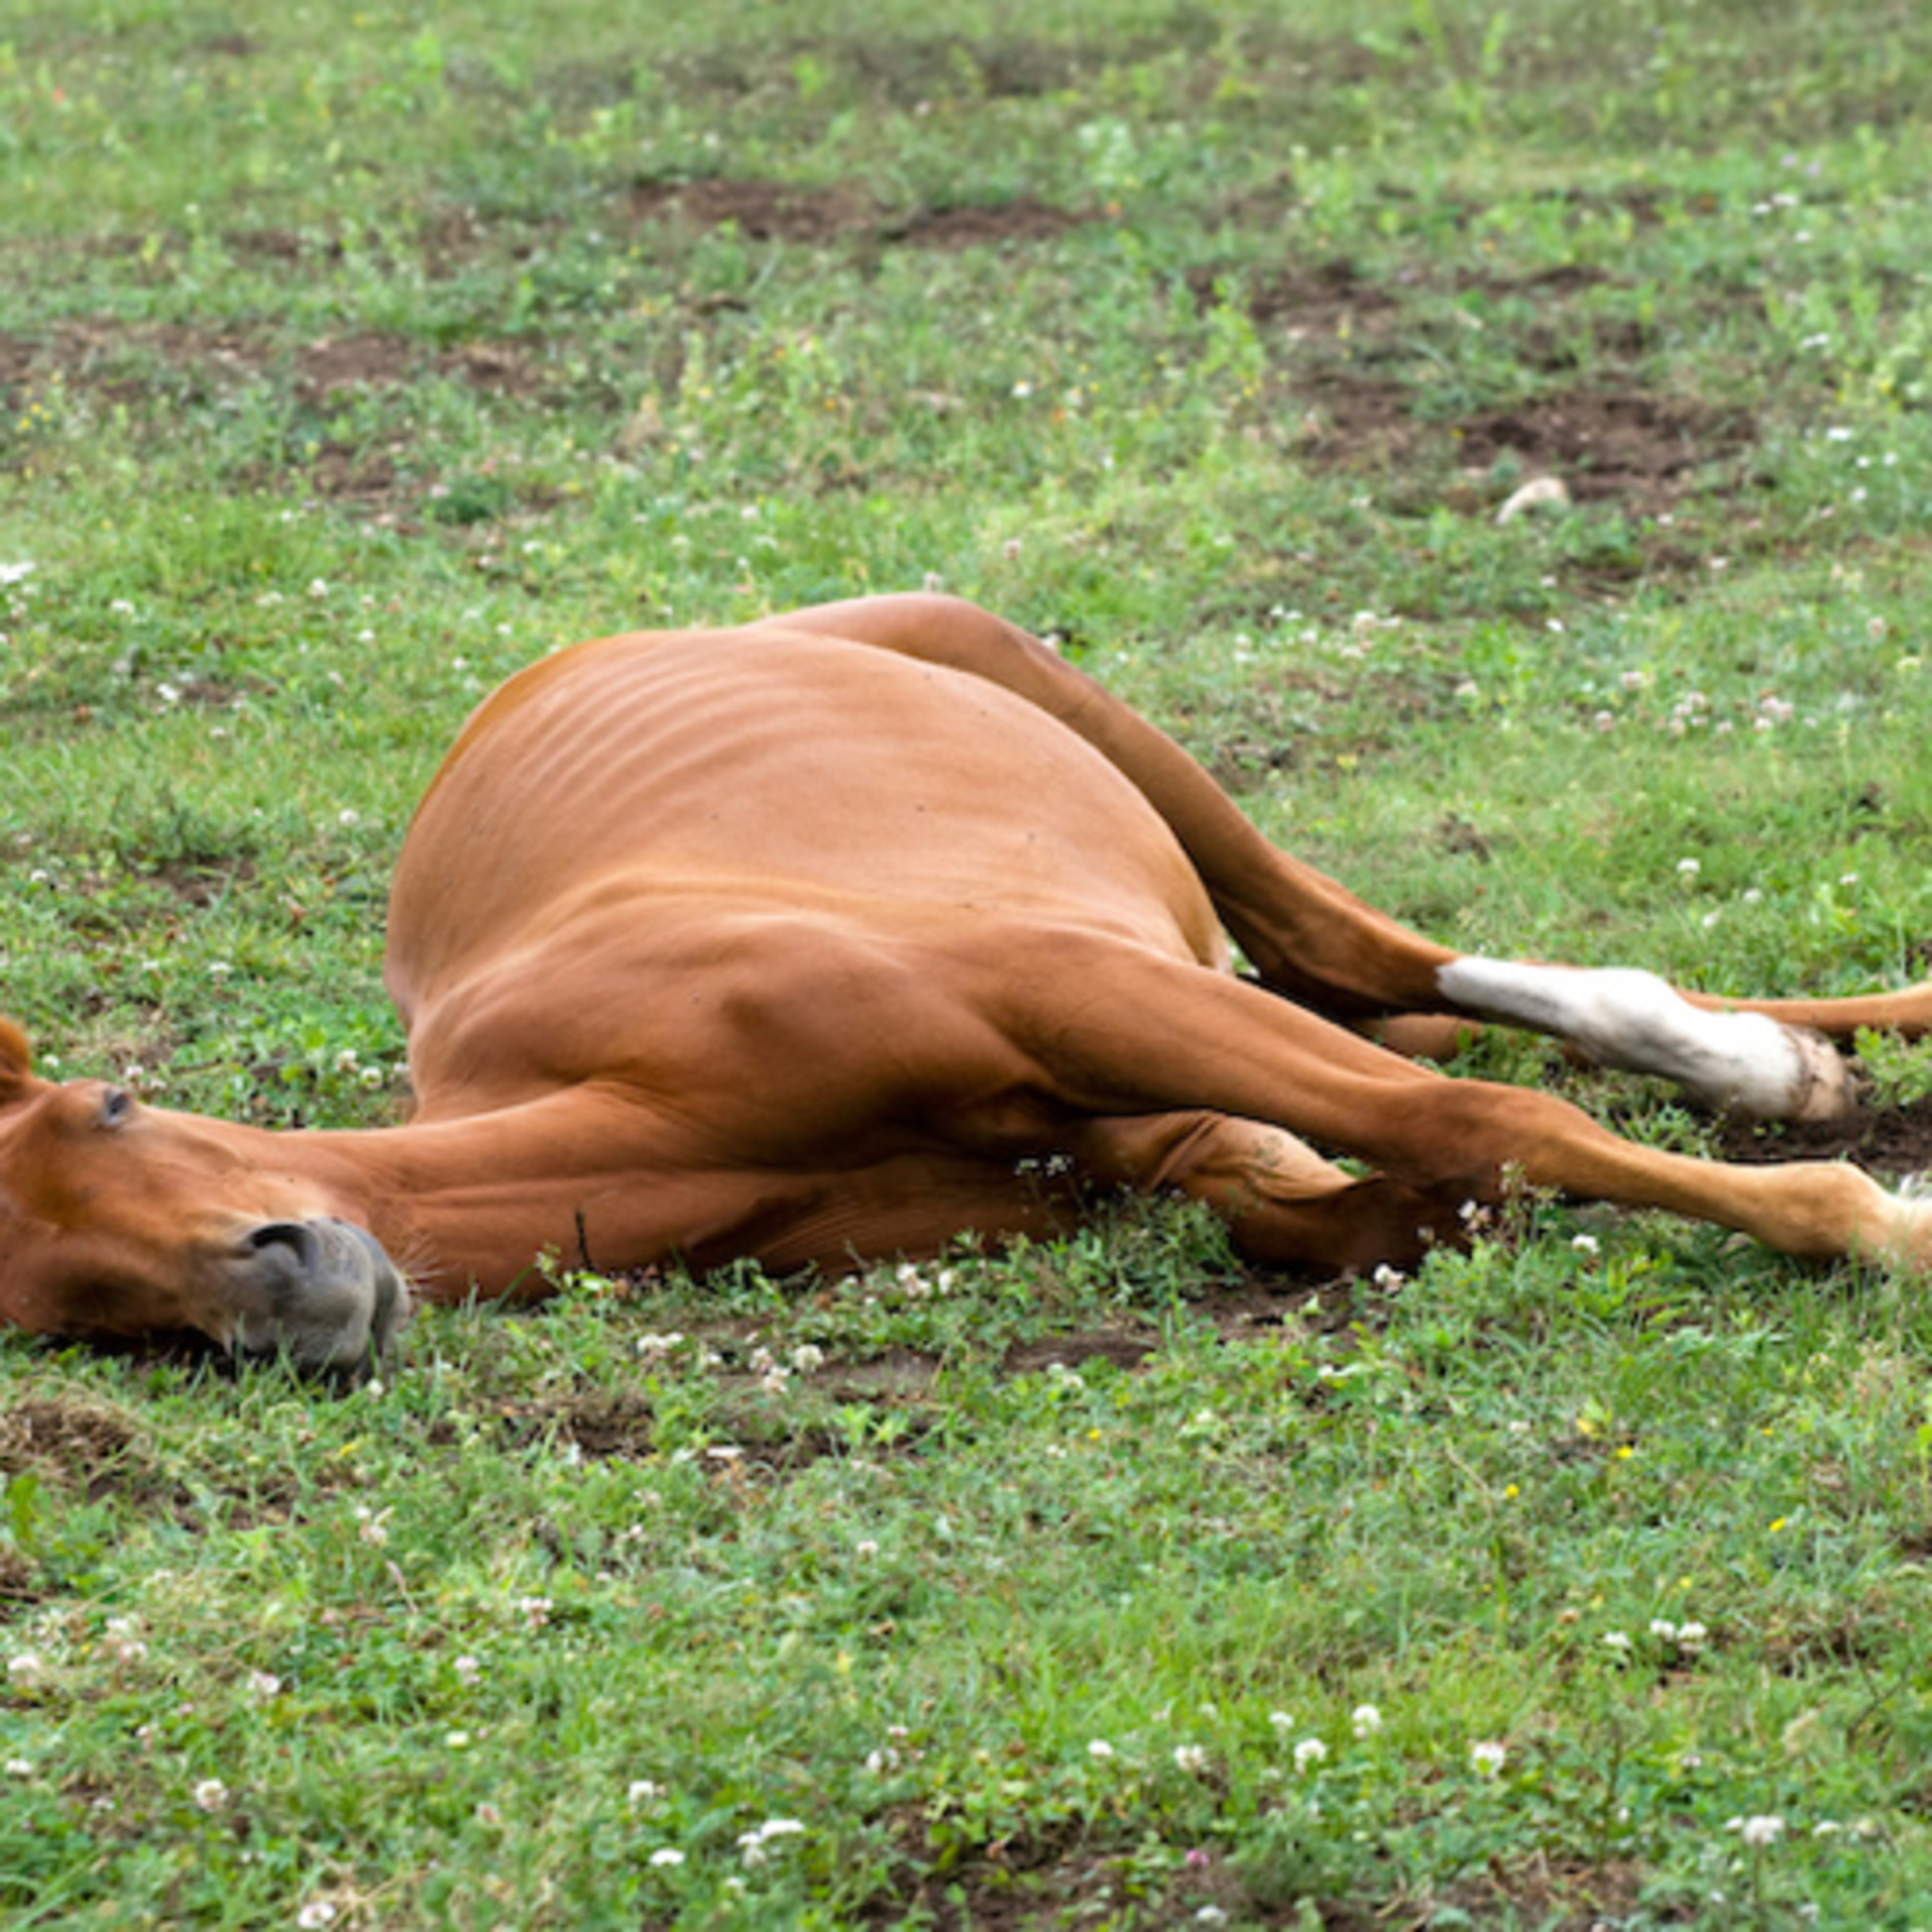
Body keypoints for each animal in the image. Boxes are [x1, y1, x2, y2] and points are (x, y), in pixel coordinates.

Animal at [4, 594, 1930, 1370]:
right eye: (62, 1305)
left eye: (116, 1099)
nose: (299, 1287)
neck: (653, 1102)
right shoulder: (1135, 1133)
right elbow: (1381, 1177)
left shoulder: (1066, 990)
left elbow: (1475, 1117)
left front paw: (1876, 1225)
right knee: (1388, 996)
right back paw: (1784, 1057)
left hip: (1042, 693)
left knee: (1359, 955)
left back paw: (1779, 1064)